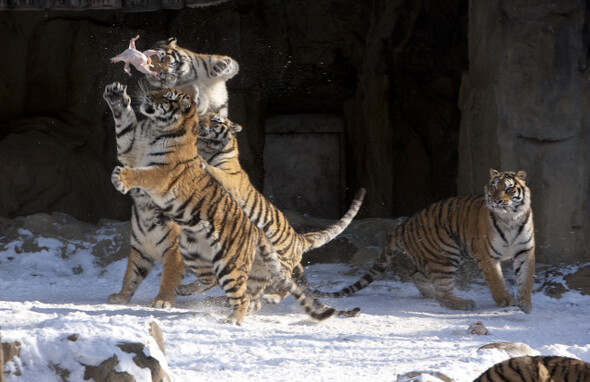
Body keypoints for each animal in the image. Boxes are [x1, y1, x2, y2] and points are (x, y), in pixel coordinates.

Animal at [176, 112, 368, 306]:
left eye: (215, 120)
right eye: (202, 116)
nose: (199, 123)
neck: (208, 149)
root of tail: (298, 238)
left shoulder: (230, 180)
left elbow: (214, 171)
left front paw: (200, 161)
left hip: (278, 264)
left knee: (284, 286)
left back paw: (269, 298)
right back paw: (185, 289)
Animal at [316, 169, 540, 314]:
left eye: (509, 189)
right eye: (493, 188)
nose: (496, 200)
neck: (510, 218)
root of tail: (403, 225)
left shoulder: (525, 251)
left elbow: (526, 279)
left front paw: (525, 304)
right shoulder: (487, 256)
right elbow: (496, 281)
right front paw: (505, 300)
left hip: (434, 256)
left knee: (416, 275)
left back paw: (430, 294)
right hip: (445, 255)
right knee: (442, 292)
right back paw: (462, 303)